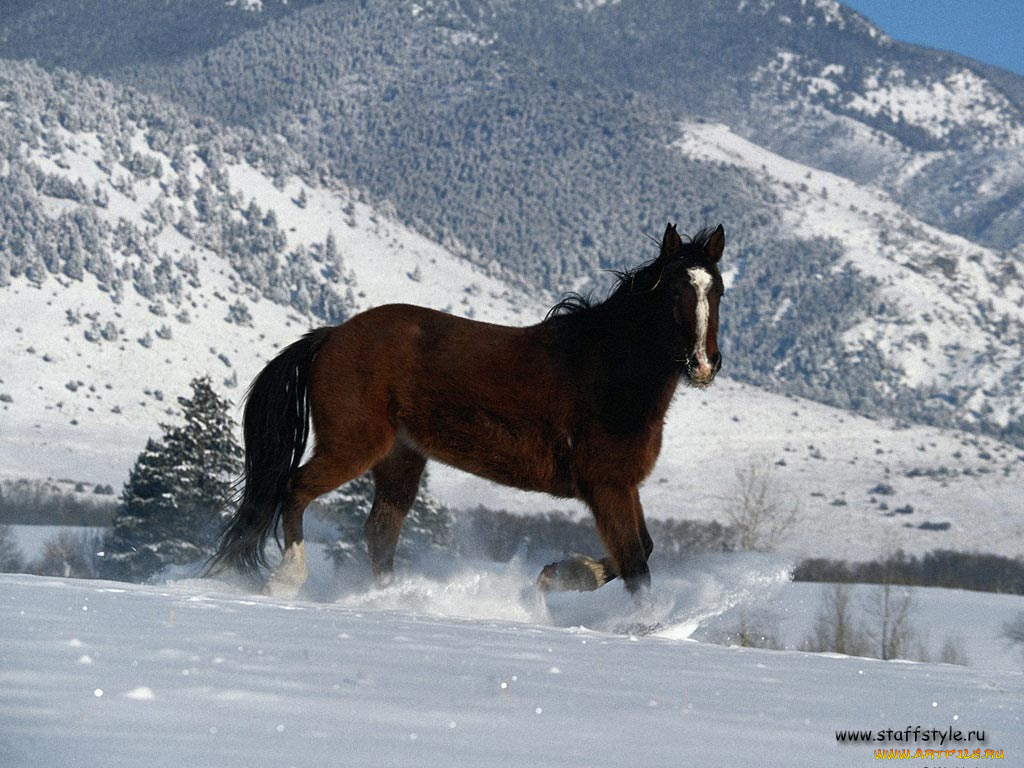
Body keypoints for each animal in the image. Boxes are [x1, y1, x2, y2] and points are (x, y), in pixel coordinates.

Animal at [207, 222, 724, 593]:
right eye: (675, 291)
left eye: (717, 290)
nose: (703, 364)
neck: (607, 369)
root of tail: (331, 336)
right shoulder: (607, 485)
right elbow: (636, 565)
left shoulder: (621, 485)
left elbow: (643, 551)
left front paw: (559, 575)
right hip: (353, 445)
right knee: (295, 490)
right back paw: (287, 579)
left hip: (400, 459)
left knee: (380, 533)